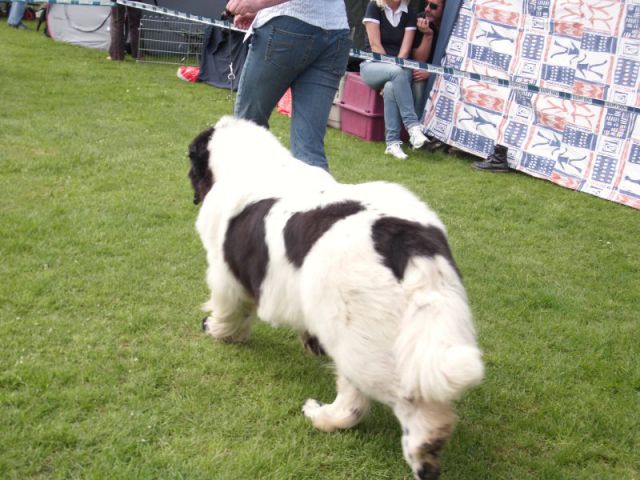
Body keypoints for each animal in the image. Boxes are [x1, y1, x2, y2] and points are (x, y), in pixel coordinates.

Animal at [188, 116, 482, 480]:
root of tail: (409, 241)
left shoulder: (224, 272)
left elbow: (229, 307)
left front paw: (216, 330)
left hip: (361, 343)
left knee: (375, 403)